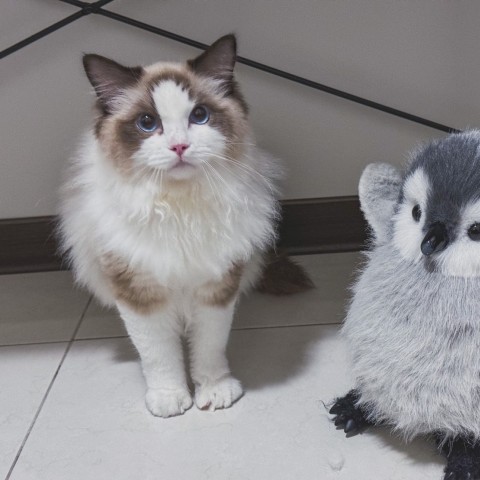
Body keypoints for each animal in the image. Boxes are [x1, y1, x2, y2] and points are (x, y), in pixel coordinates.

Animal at [59, 34, 312, 418]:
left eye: (199, 116)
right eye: (147, 123)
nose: (179, 146)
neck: (179, 209)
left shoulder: (217, 286)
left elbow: (209, 348)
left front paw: (214, 390)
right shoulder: (138, 290)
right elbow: (159, 355)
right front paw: (170, 397)